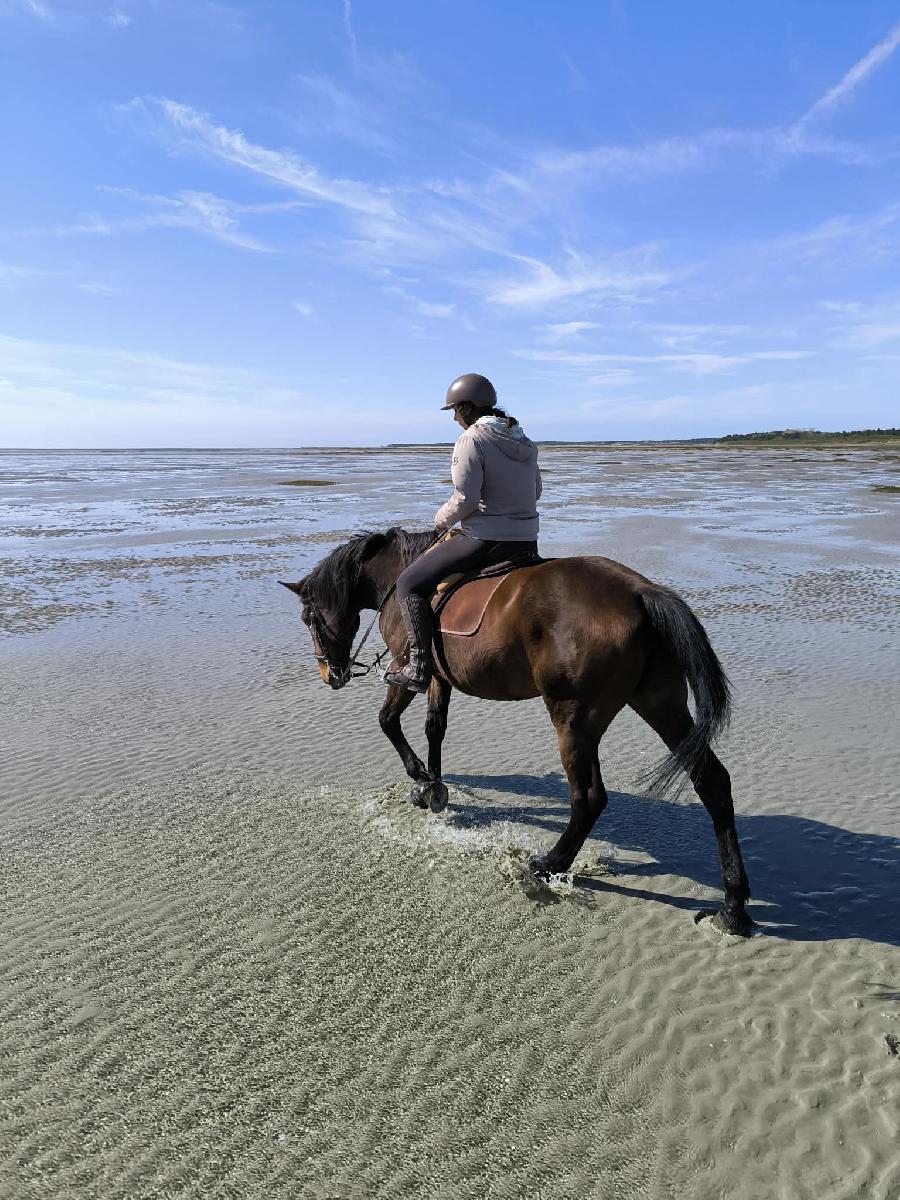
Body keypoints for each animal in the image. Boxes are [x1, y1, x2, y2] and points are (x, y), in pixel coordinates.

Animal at [280, 527, 753, 937]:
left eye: (307, 617)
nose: (330, 675)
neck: (397, 575)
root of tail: (640, 592)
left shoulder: (406, 667)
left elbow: (388, 721)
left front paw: (421, 778)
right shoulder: (440, 678)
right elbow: (436, 727)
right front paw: (434, 786)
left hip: (573, 718)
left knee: (589, 797)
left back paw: (547, 864)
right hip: (660, 704)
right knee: (712, 782)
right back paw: (733, 908)